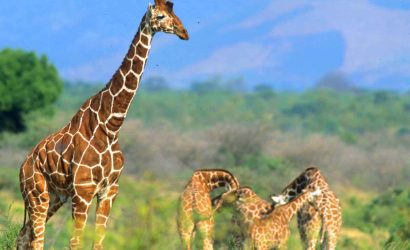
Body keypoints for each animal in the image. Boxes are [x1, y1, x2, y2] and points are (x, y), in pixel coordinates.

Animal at [16, 0, 189, 249]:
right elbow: (75, 241)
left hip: (54, 197)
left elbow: (99, 241)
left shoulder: (110, 190)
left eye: (175, 12)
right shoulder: (83, 191)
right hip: (37, 195)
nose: (184, 32)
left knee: (23, 235)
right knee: (36, 239)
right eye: (161, 16)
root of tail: (22, 166)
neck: (111, 125)